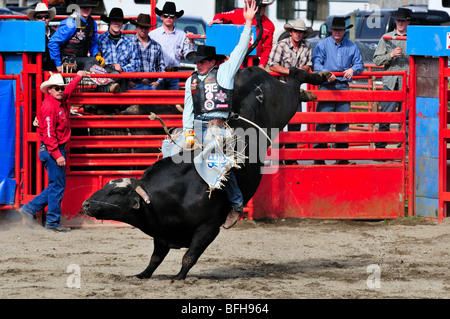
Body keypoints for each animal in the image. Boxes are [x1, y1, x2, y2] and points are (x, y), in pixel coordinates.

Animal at [81, 67, 330, 280]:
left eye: (115, 194)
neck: (173, 194)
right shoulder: (161, 233)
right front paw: (142, 274)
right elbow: (155, 258)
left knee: (294, 79)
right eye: (106, 186)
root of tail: (253, 72)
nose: (86, 204)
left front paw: (179, 277)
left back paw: (315, 79)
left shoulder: (208, 229)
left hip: (283, 104)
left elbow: (188, 256)